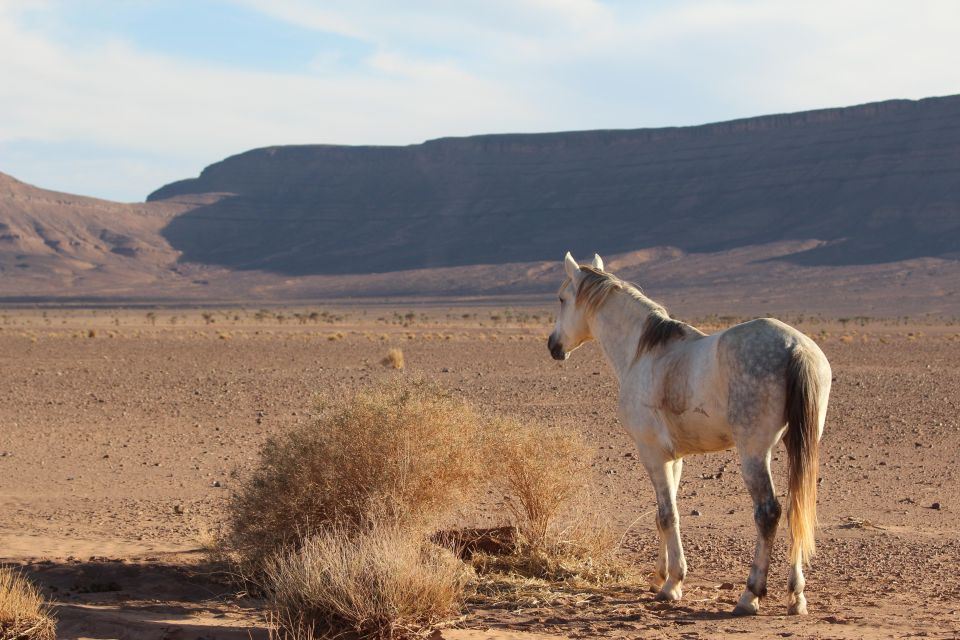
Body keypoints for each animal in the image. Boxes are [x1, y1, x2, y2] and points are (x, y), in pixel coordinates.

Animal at [552, 252, 828, 616]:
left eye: (562, 299)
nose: (554, 346)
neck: (643, 352)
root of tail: (796, 347)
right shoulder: (674, 458)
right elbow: (665, 514)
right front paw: (660, 576)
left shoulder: (651, 453)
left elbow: (667, 515)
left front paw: (672, 585)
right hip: (798, 445)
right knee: (798, 507)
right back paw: (796, 596)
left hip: (754, 452)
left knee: (768, 513)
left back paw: (750, 595)